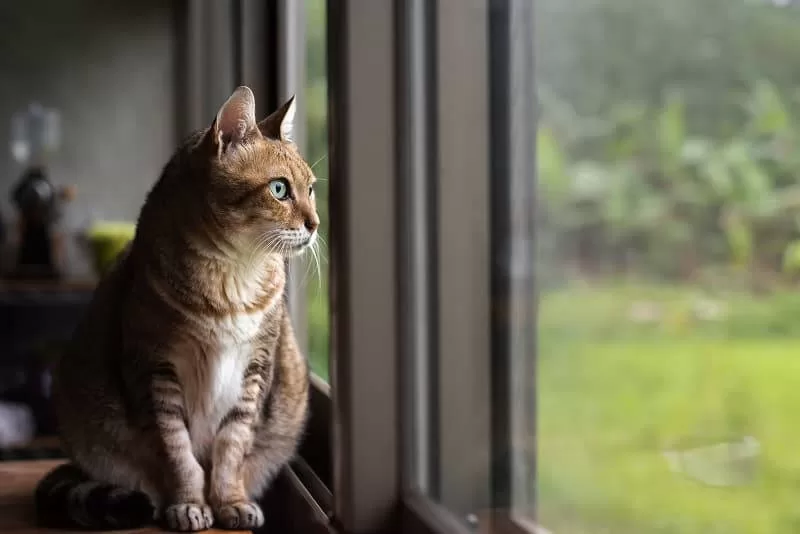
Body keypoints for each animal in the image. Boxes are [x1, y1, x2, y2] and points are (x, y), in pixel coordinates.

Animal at [34, 86, 318, 532]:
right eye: (279, 189)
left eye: (312, 189)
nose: (316, 224)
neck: (233, 275)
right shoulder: (155, 370)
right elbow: (178, 453)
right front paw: (189, 504)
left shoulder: (255, 369)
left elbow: (232, 448)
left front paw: (230, 502)